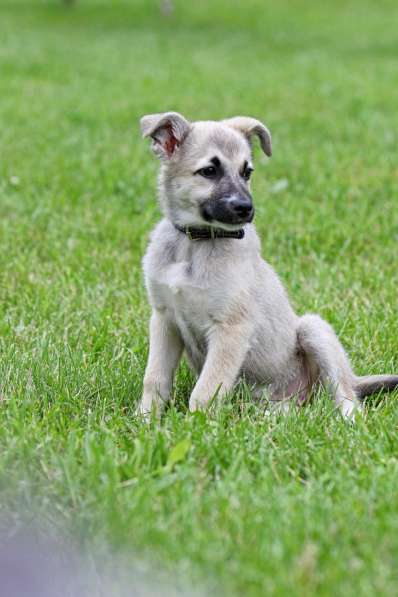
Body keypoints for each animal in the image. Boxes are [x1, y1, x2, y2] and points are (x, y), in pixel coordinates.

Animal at [138, 112, 398, 420]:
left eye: (246, 172)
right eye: (209, 171)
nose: (246, 208)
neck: (194, 243)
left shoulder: (231, 329)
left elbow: (205, 390)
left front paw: (196, 425)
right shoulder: (164, 319)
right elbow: (155, 379)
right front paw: (146, 420)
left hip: (313, 329)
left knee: (346, 393)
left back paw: (349, 420)